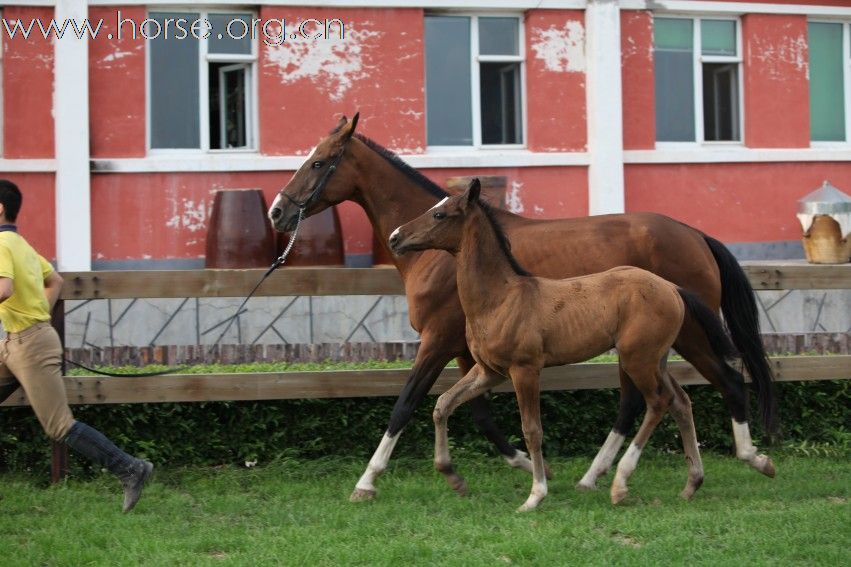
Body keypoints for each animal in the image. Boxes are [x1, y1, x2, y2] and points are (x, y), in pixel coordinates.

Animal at [390, 181, 736, 510]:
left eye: (439, 214)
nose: (395, 237)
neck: (500, 297)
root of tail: (672, 288)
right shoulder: (489, 372)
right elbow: (442, 404)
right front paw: (452, 475)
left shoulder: (525, 370)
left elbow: (532, 430)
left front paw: (535, 495)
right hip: (656, 359)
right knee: (681, 402)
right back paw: (691, 483)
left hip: (637, 359)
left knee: (658, 402)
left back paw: (619, 484)